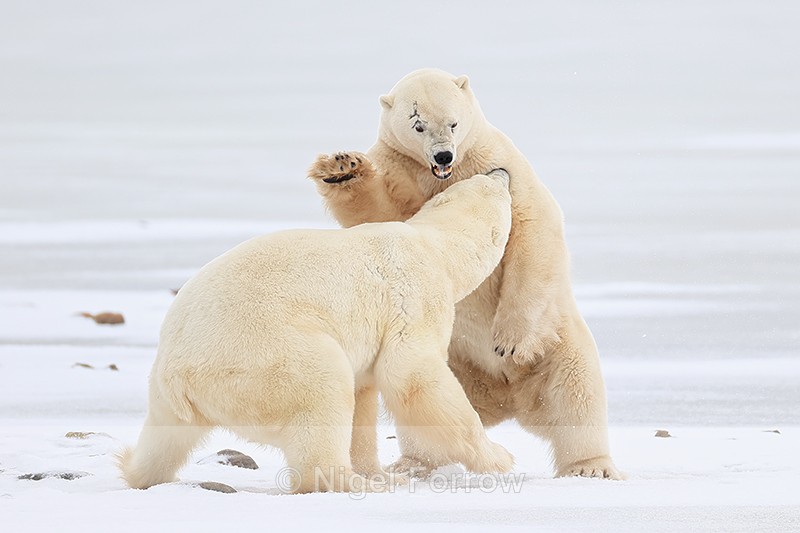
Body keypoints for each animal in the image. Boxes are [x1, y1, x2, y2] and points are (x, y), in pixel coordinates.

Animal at [118, 169, 515, 494]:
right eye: (495, 186)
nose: (502, 170)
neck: (433, 244)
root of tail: (180, 375)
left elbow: (365, 395)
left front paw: (378, 471)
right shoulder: (415, 296)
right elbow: (412, 375)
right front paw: (499, 457)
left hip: (169, 391)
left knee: (166, 437)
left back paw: (135, 469)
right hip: (263, 356)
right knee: (324, 389)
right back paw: (347, 482)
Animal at [308, 68, 623, 479]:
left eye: (454, 123)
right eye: (418, 124)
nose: (443, 154)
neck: (444, 175)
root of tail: (506, 399)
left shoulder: (502, 163)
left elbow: (533, 231)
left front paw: (509, 341)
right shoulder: (400, 172)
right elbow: (376, 213)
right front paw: (342, 170)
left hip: (558, 344)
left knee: (577, 394)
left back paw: (590, 467)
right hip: (454, 362)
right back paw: (414, 464)